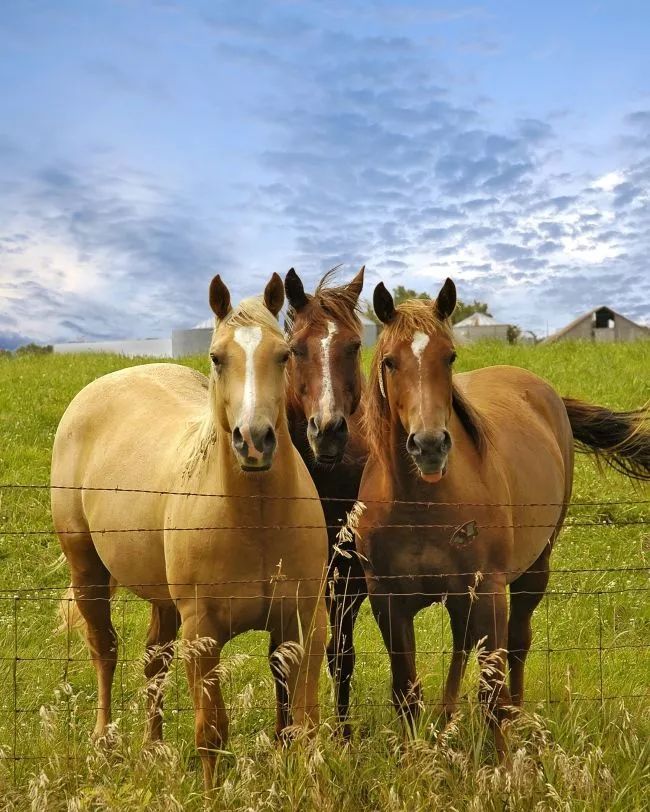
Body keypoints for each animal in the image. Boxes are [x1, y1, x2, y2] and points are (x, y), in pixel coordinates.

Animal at [53, 274, 330, 788]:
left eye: (283, 355)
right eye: (217, 357)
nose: (254, 441)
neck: (255, 517)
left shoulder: (305, 621)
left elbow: (305, 726)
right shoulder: (202, 634)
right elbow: (212, 733)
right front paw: (212, 794)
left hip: (160, 598)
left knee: (153, 660)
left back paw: (153, 746)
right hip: (87, 571)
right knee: (105, 650)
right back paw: (104, 743)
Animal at [354, 282, 648, 760]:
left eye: (450, 356)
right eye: (389, 361)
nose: (429, 445)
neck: (420, 503)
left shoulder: (489, 591)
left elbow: (492, 692)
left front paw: (504, 766)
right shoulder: (387, 600)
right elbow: (406, 692)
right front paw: (416, 760)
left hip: (533, 571)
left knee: (518, 644)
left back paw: (516, 716)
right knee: (463, 645)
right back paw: (448, 719)